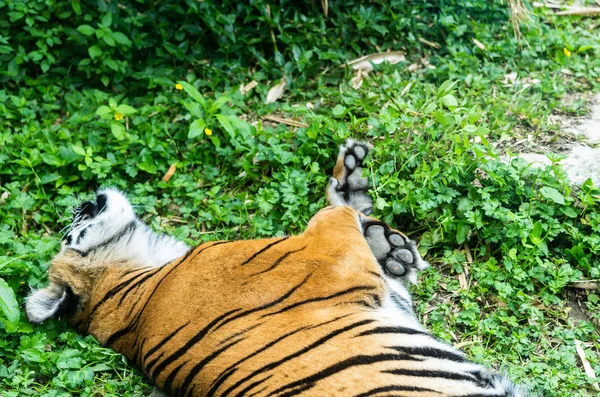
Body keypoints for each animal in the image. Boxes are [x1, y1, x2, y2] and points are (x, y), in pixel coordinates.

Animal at [25, 140, 532, 396]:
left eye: (71, 223)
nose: (82, 200)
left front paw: (389, 243)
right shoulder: (334, 264)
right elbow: (330, 213)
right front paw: (352, 188)